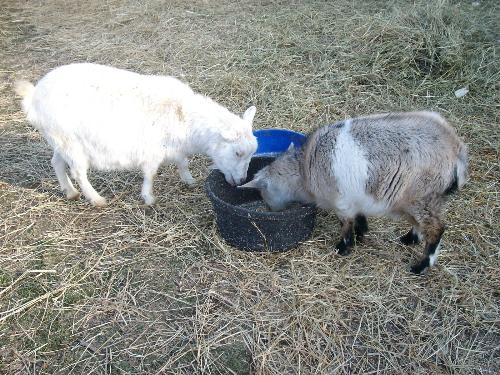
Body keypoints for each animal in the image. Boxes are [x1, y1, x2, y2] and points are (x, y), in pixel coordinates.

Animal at [15, 63, 258, 207]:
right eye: (238, 152)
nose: (241, 180)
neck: (182, 115)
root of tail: (34, 96)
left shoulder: (175, 148)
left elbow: (183, 163)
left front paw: (189, 180)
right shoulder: (153, 151)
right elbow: (150, 173)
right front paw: (149, 198)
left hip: (61, 141)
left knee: (56, 162)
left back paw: (70, 192)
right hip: (71, 143)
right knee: (78, 172)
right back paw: (96, 199)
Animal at [241, 111, 468, 274]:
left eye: (264, 194)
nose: (270, 209)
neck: (305, 169)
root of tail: (456, 149)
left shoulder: (342, 202)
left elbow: (346, 224)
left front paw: (343, 247)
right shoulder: (355, 199)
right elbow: (359, 216)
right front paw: (361, 233)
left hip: (420, 197)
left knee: (436, 228)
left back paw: (421, 265)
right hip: (423, 199)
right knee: (423, 224)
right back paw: (409, 239)